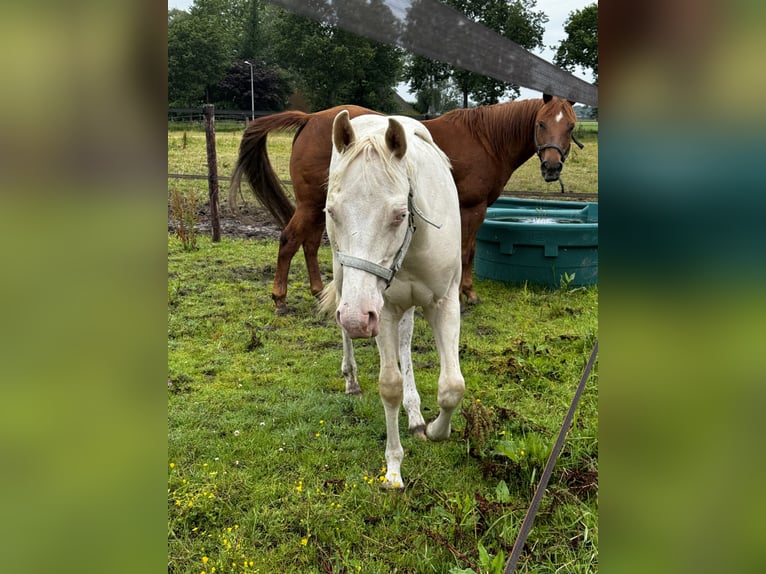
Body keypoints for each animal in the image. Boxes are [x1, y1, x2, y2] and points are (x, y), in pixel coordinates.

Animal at [231, 97, 580, 318]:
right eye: (541, 124)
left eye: (571, 127)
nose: (552, 168)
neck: (485, 139)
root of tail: (309, 118)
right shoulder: (473, 209)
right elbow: (467, 252)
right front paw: (467, 293)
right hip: (311, 204)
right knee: (289, 241)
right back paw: (279, 300)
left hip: (320, 206)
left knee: (310, 243)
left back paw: (319, 292)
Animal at [320, 112, 464, 490]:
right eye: (332, 211)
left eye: (400, 214)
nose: (357, 318)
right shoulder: (381, 311)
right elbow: (389, 386)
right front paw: (394, 470)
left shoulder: (445, 303)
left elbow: (452, 386)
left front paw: (435, 428)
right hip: (344, 277)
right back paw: (352, 381)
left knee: (405, 340)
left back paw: (414, 415)